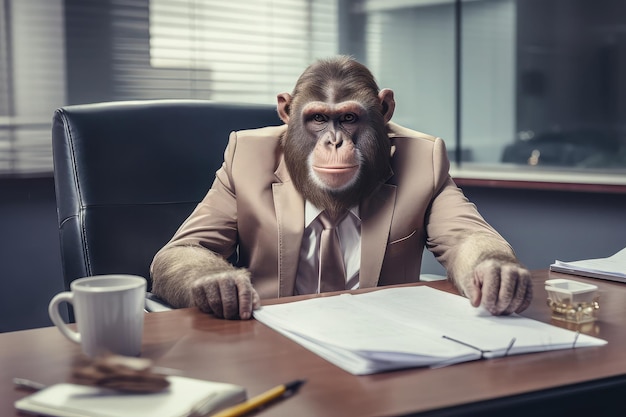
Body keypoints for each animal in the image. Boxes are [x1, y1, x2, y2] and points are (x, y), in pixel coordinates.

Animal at [149, 55, 528, 320]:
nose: (334, 141)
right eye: (318, 118)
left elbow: (468, 235)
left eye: (348, 118)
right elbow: (188, 245)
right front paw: (220, 286)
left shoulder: (438, 169)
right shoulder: (229, 170)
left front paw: (497, 274)